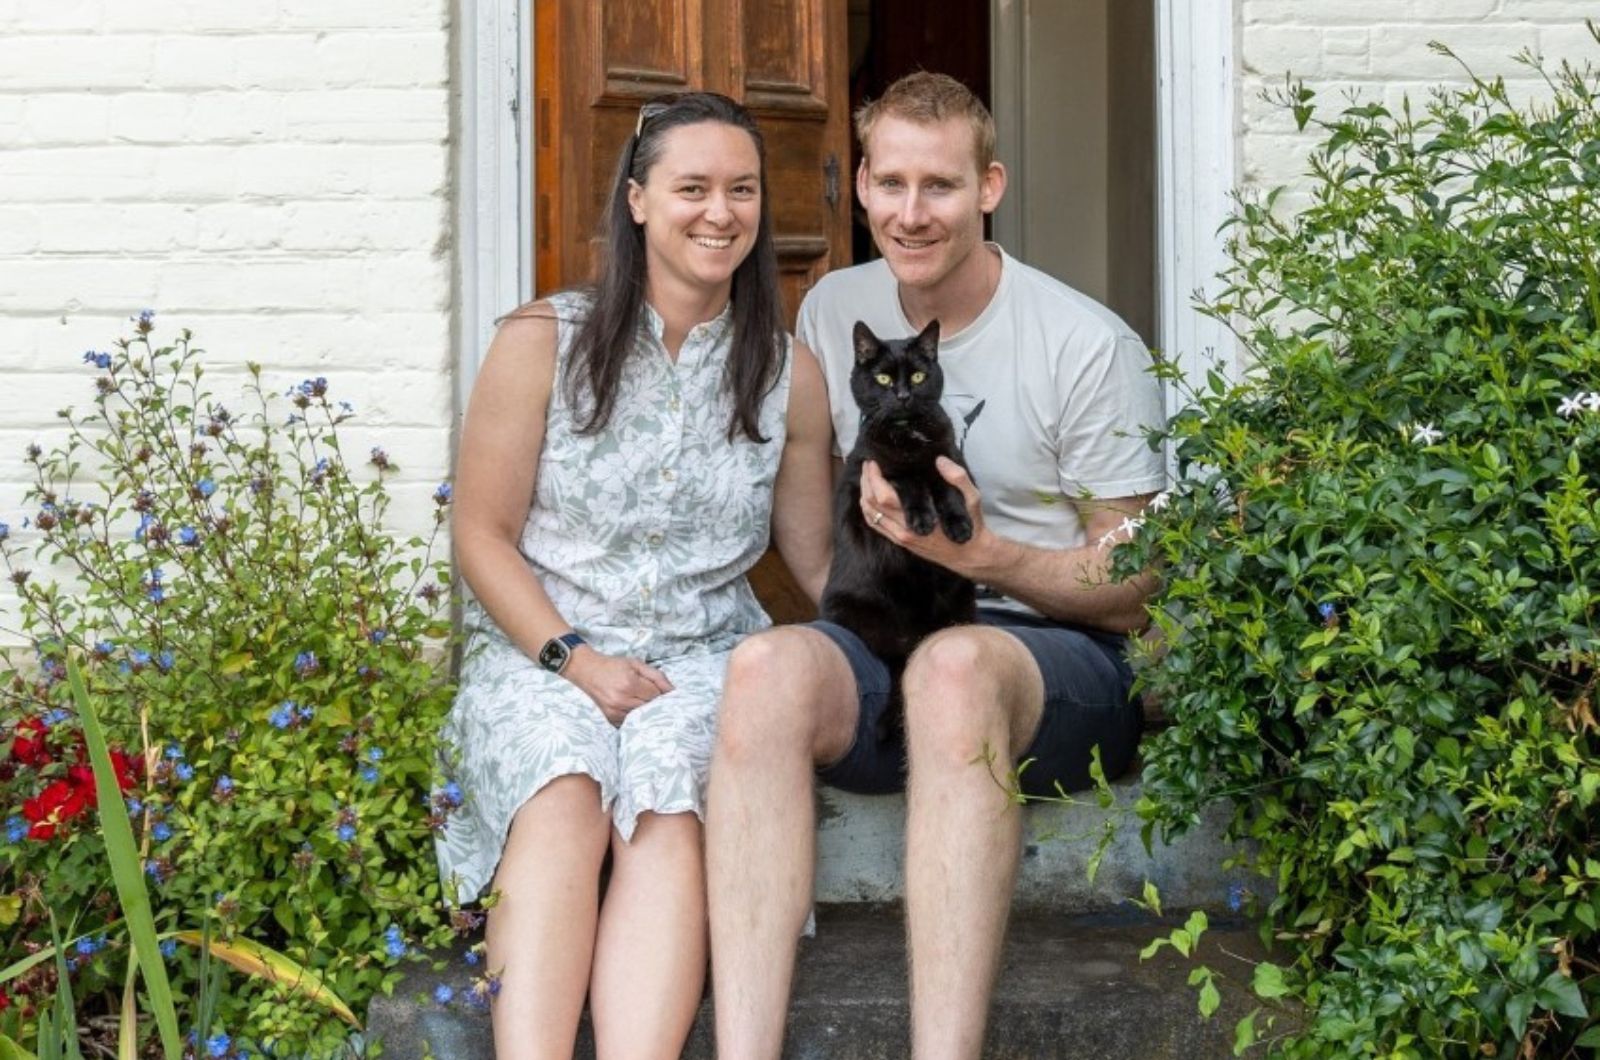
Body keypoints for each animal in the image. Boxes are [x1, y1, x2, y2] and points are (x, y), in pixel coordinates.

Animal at [825, 317, 972, 730]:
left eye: (919, 376)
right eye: (884, 379)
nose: (904, 395)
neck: (909, 434)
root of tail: (914, 639)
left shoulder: (947, 457)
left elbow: (946, 488)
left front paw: (959, 526)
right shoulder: (878, 467)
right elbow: (910, 481)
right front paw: (922, 519)